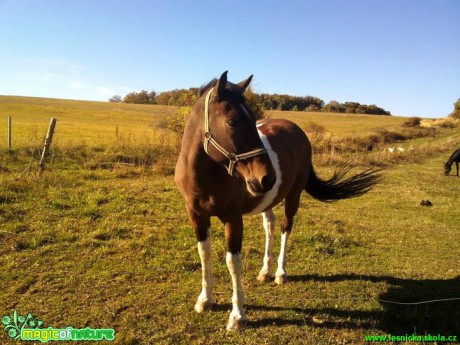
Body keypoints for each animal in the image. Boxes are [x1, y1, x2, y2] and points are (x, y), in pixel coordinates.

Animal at [174, 71, 382, 330]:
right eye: (232, 121)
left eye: (253, 120)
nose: (268, 177)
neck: (207, 173)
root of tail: (297, 131)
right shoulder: (197, 216)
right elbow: (205, 254)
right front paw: (205, 300)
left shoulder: (233, 218)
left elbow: (233, 262)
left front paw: (238, 316)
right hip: (267, 199)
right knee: (270, 225)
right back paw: (265, 271)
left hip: (293, 196)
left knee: (285, 227)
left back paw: (281, 272)